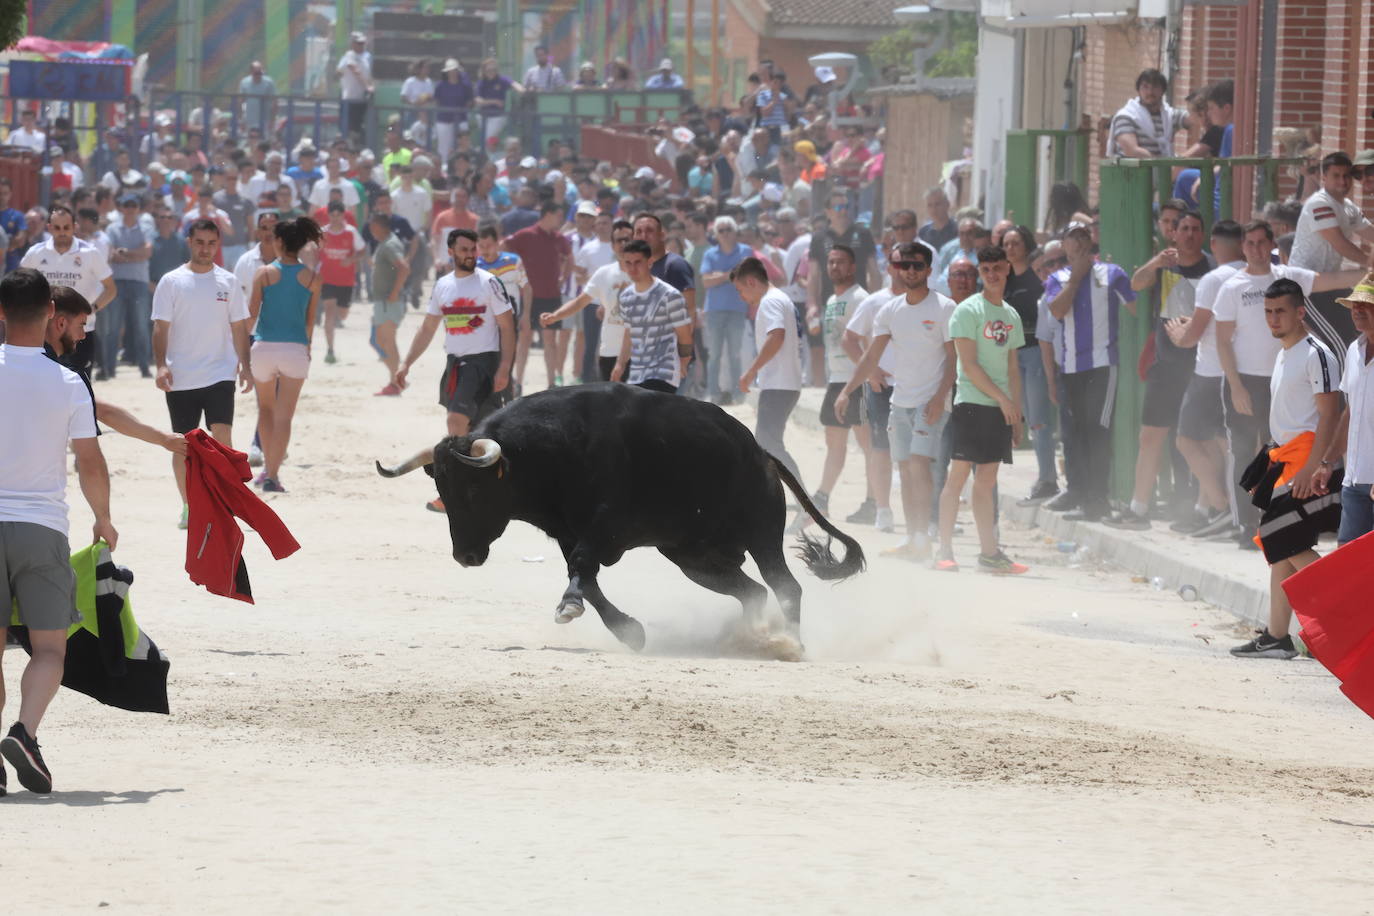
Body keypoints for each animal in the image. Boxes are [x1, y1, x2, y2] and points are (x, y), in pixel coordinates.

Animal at [376, 384, 862, 648]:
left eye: (475, 489)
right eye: (442, 490)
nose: (466, 556)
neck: (551, 449)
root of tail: (762, 454)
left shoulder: (604, 525)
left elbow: (581, 572)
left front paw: (570, 607)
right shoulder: (569, 533)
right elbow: (587, 579)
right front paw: (629, 631)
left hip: (761, 538)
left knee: (786, 587)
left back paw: (791, 643)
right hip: (693, 558)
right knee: (753, 593)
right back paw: (748, 638)